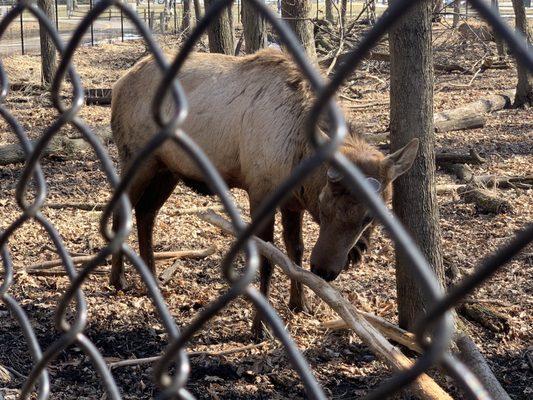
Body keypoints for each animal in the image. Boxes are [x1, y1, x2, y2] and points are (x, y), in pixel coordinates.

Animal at [110, 49, 418, 338]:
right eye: (323, 204)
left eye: (369, 217)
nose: (323, 270)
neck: (298, 158)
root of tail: (119, 84)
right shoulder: (260, 192)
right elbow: (268, 260)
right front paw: (260, 327)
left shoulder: (292, 203)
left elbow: (295, 251)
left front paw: (300, 304)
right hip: (136, 158)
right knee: (120, 211)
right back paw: (118, 279)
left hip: (167, 169)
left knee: (146, 212)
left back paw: (151, 275)